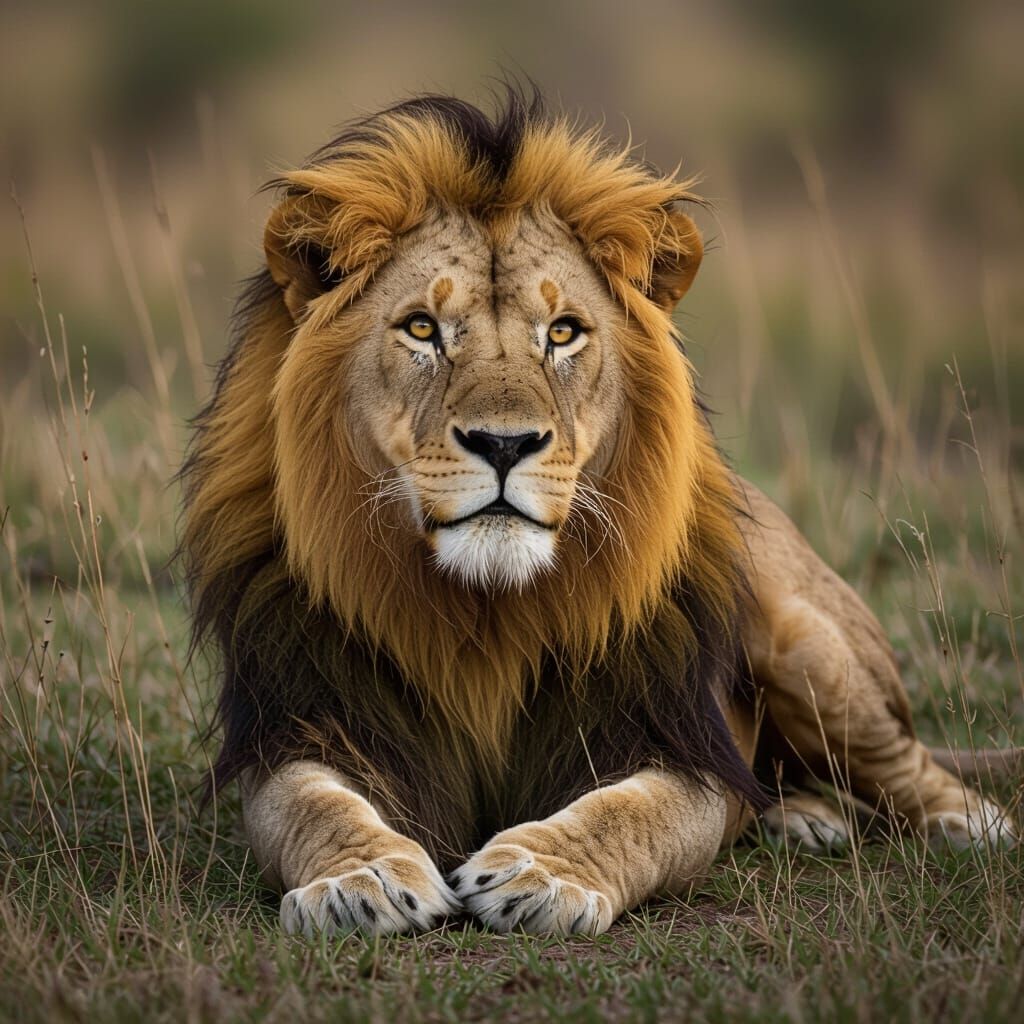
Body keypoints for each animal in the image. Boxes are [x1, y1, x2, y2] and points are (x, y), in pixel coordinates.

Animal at [181, 90, 1015, 938]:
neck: (487, 618)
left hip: (808, 645)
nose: (505, 443)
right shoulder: (306, 723)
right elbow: (315, 807)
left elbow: (629, 814)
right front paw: (363, 878)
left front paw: (540, 871)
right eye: (421, 328)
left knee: (907, 764)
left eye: (563, 333)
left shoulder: (672, 738)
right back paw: (802, 817)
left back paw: (969, 824)